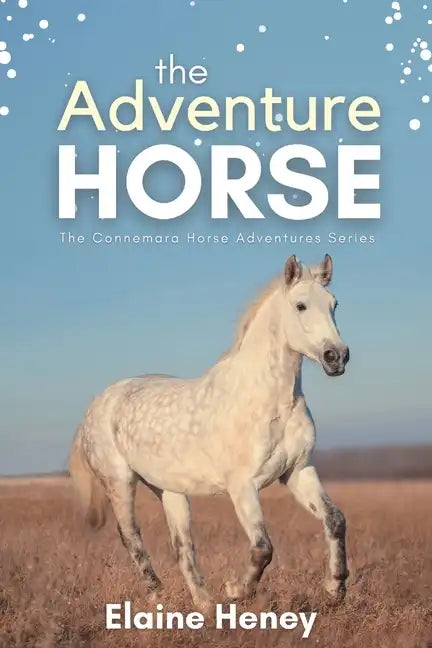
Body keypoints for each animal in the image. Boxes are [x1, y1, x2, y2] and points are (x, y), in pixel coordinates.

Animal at [69, 254, 350, 612]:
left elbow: (334, 519)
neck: (270, 400)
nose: (337, 357)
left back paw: (204, 605)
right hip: (119, 482)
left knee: (182, 545)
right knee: (131, 537)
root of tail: (97, 404)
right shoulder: (242, 485)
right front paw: (235, 590)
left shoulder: (298, 471)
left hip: (169, 490)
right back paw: (159, 596)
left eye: (334, 304)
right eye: (300, 305)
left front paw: (335, 588)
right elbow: (263, 547)